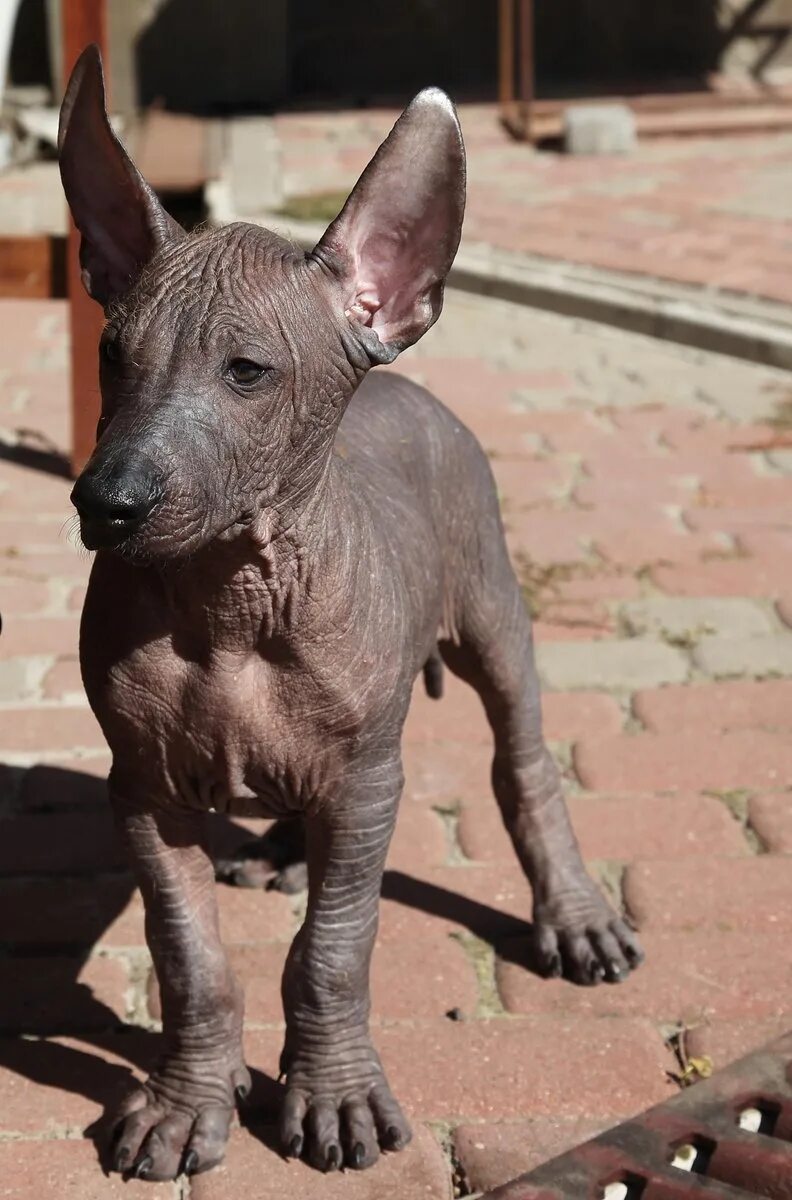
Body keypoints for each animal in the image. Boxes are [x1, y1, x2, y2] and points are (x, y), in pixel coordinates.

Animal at [60, 44, 643, 1180]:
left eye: (247, 372)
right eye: (112, 356)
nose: (104, 503)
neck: (233, 599)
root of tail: (402, 385)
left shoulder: (372, 779)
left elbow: (332, 949)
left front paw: (331, 1095)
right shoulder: (141, 788)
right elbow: (191, 956)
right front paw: (185, 1103)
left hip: (494, 621)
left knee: (523, 768)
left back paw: (574, 914)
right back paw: (285, 846)